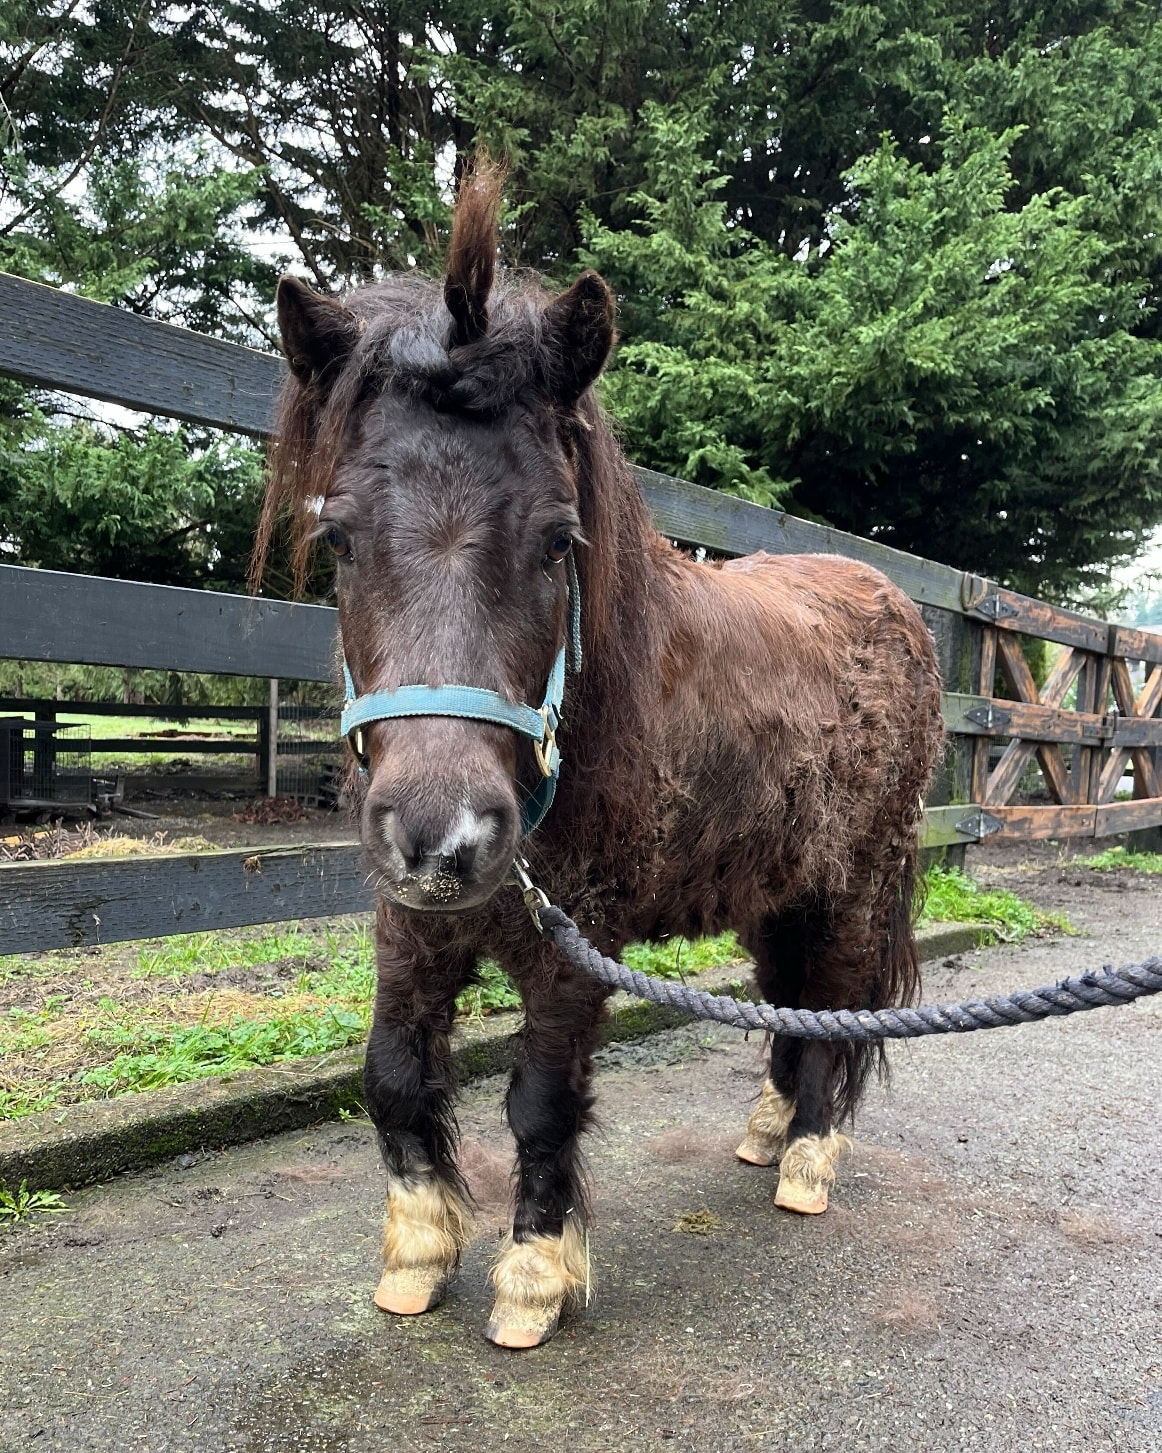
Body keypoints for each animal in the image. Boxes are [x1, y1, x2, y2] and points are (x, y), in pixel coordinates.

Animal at [253, 161, 945, 1349]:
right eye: (338, 537)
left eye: (557, 540)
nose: (444, 836)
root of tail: (892, 599)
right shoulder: (412, 926)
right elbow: (392, 1075)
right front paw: (417, 1254)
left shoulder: (577, 943)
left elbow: (539, 1098)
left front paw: (534, 1276)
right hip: (779, 888)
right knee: (790, 996)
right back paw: (766, 1130)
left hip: (854, 882)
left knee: (839, 1002)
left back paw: (806, 1161)